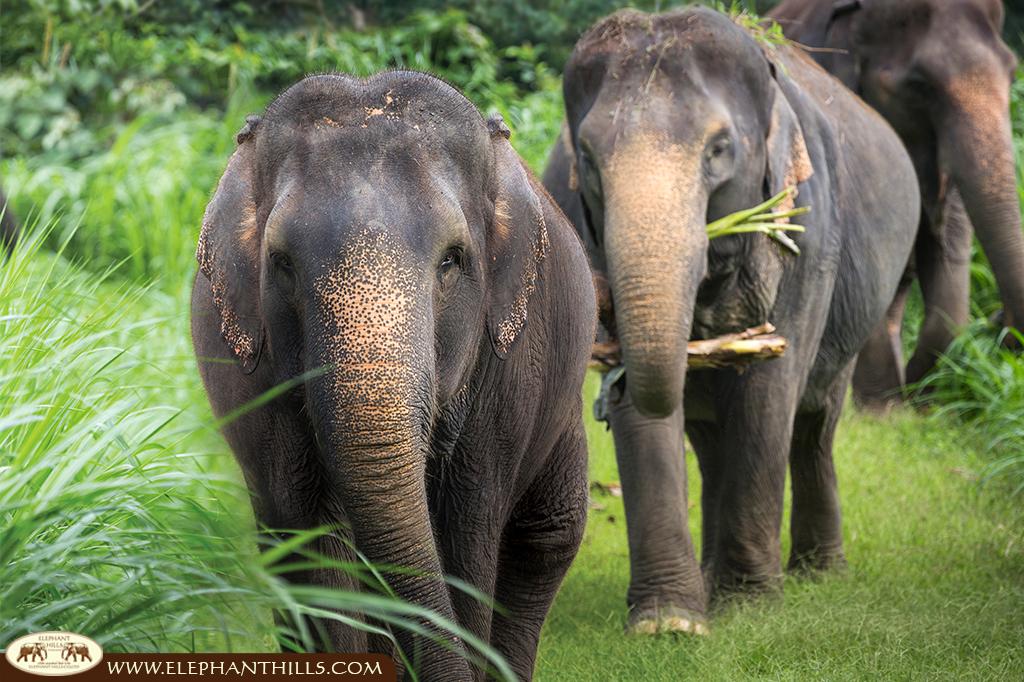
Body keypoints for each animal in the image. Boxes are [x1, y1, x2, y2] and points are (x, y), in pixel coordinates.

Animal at [192, 67, 598, 675]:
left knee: (546, 538)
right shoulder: (247, 375)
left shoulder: (510, 374)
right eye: (281, 264)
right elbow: (310, 539)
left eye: (451, 259)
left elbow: (466, 539)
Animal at [544, 6, 921, 630]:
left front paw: (749, 606)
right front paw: (670, 622)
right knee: (711, 441)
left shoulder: (807, 229)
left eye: (719, 149)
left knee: (814, 423)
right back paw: (710, 580)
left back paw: (818, 573)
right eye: (590, 160)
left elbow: (768, 392)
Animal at [770, 0, 1024, 403]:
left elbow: (948, 254)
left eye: (1012, 75)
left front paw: (914, 401)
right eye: (919, 86)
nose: (1000, 321)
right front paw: (880, 406)